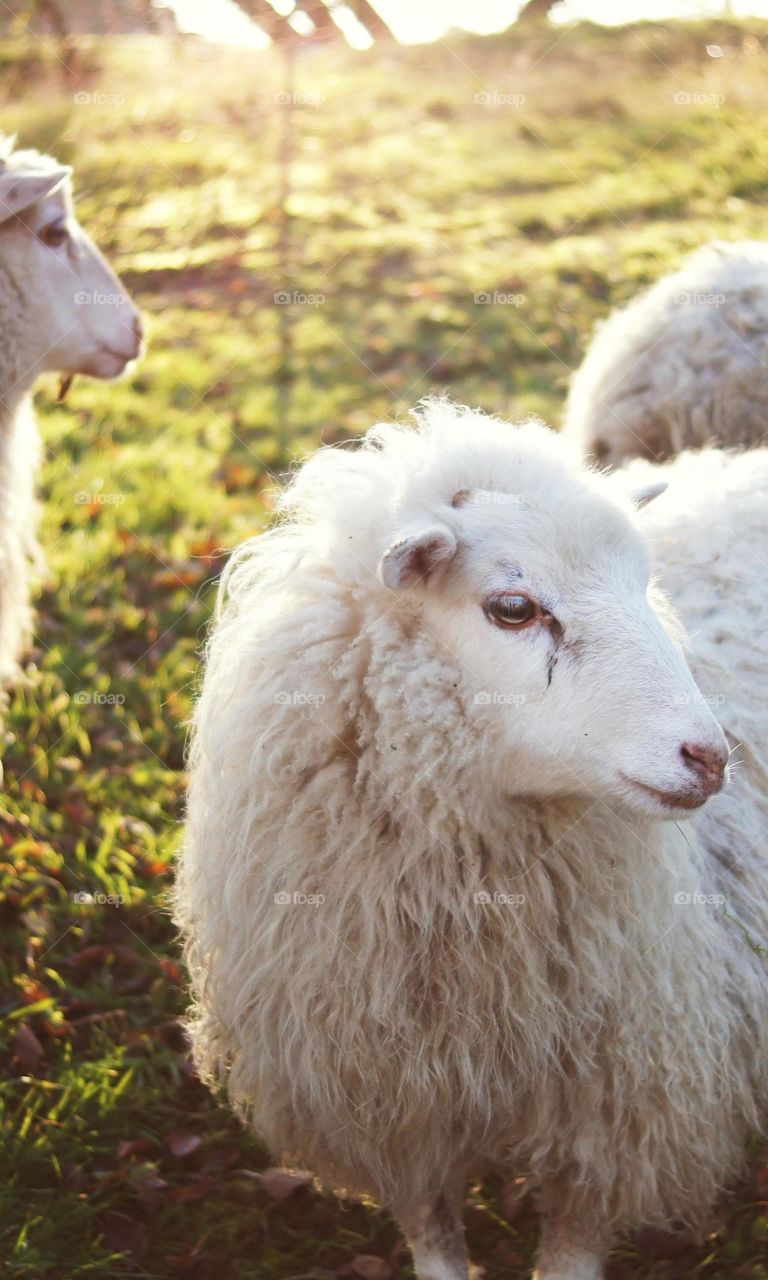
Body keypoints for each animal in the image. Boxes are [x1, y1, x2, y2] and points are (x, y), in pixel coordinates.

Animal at [175, 401, 768, 1280]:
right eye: (513, 608)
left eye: (643, 583)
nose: (710, 757)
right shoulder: (390, 1113)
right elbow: (434, 1239)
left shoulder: (615, 1118)